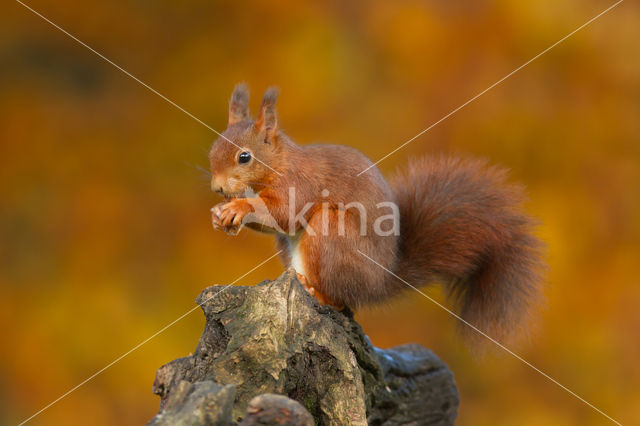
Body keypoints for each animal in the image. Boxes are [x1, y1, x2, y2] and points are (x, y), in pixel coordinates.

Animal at [212, 84, 544, 342]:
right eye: (213, 149)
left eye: (244, 157)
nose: (217, 188)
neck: (279, 164)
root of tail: (379, 282)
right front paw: (220, 213)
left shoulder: (300, 185)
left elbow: (284, 214)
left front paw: (238, 207)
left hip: (333, 232)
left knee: (340, 300)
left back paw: (315, 291)